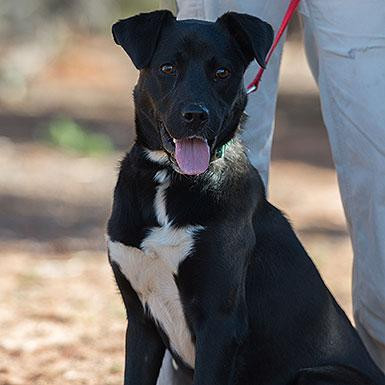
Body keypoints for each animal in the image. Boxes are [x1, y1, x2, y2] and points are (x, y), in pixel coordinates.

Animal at [107, 9, 384, 384]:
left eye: (222, 72)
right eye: (167, 68)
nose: (196, 116)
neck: (170, 180)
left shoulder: (220, 323)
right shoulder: (141, 324)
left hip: (315, 373)